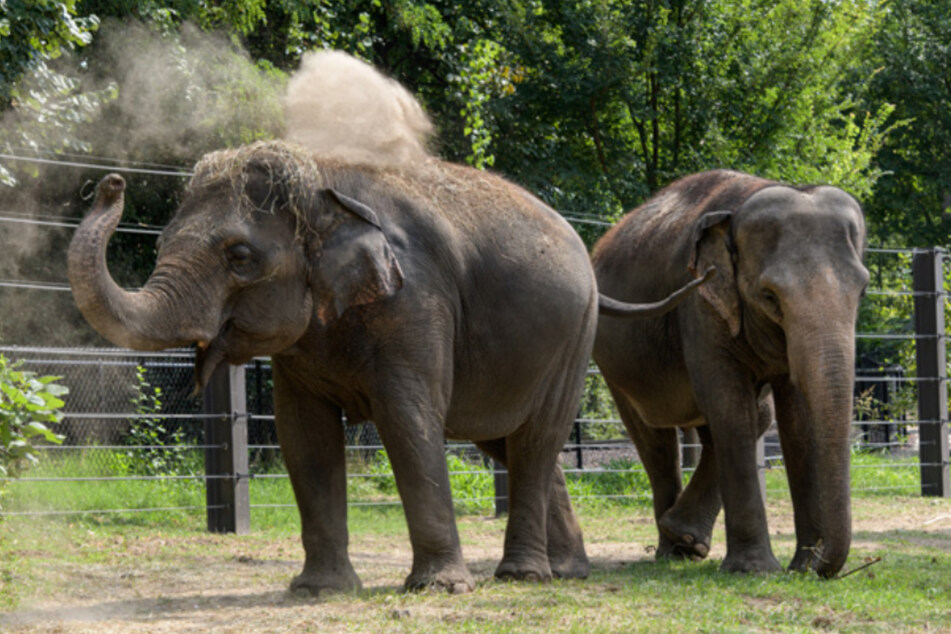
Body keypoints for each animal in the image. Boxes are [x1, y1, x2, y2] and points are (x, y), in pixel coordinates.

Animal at [67, 143, 708, 592]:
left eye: (240, 257)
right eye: (160, 245)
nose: (110, 184)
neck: (323, 185)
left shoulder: (416, 300)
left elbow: (408, 421)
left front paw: (440, 589)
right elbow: (304, 437)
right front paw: (318, 591)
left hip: (576, 336)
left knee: (537, 436)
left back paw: (523, 576)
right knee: (514, 442)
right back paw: (566, 572)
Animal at [596, 170, 872, 576]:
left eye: (863, 290)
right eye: (770, 296)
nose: (820, 562)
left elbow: (797, 419)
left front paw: (801, 566)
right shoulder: (701, 299)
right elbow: (730, 408)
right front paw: (756, 569)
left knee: (750, 418)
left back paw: (687, 540)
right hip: (615, 360)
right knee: (655, 440)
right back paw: (672, 549)